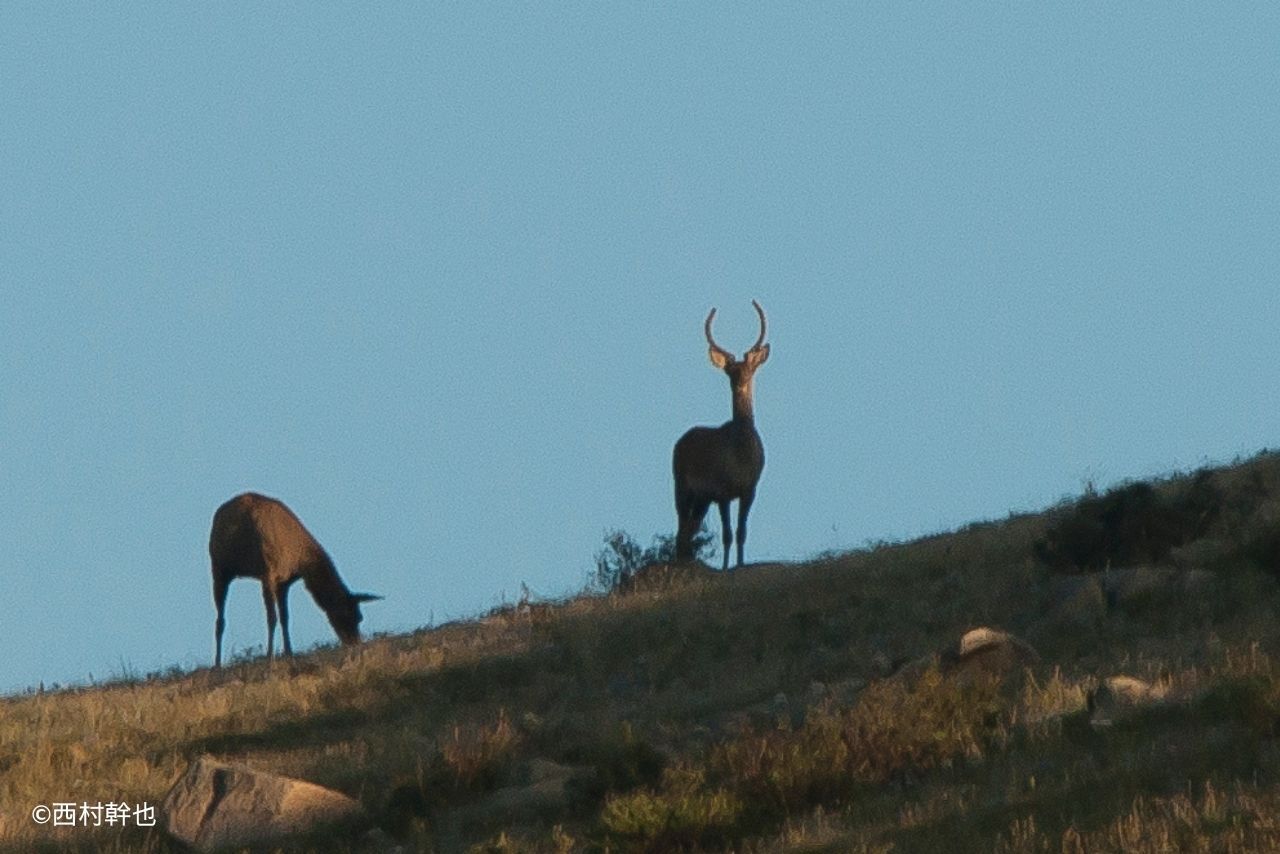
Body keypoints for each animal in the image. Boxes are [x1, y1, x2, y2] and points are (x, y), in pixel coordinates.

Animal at [207, 494, 378, 665]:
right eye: (349, 615)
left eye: (360, 617)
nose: (355, 644)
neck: (300, 561)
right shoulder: (268, 573)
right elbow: (272, 618)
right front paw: (270, 657)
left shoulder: (284, 582)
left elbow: (285, 617)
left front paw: (289, 653)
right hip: (219, 568)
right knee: (220, 619)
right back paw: (217, 664)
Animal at [675, 297, 773, 571]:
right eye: (730, 372)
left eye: (750, 369)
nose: (739, 384)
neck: (741, 457)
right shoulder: (722, 492)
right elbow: (727, 534)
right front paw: (726, 568)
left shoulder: (750, 489)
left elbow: (741, 532)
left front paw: (740, 564)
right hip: (681, 485)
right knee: (681, 528)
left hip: (701, 499)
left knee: (690, 528)